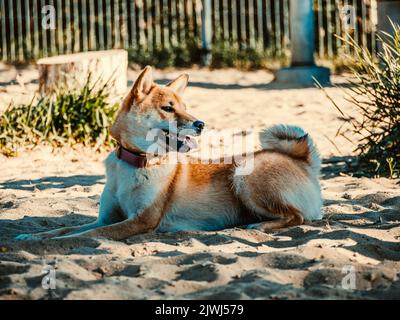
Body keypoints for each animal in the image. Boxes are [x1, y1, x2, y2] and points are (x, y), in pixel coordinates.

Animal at [17, 65, 324, 240]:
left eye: (185, 107)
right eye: (168, 108)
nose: (200, 124)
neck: (136, 164)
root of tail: (301, 160)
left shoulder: (141, 220)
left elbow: (91, 234)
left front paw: (54, 243)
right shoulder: (108, 217)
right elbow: (68, 228)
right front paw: (34, 238)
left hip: (244, 176)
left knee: (297, 216)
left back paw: (257, 228)